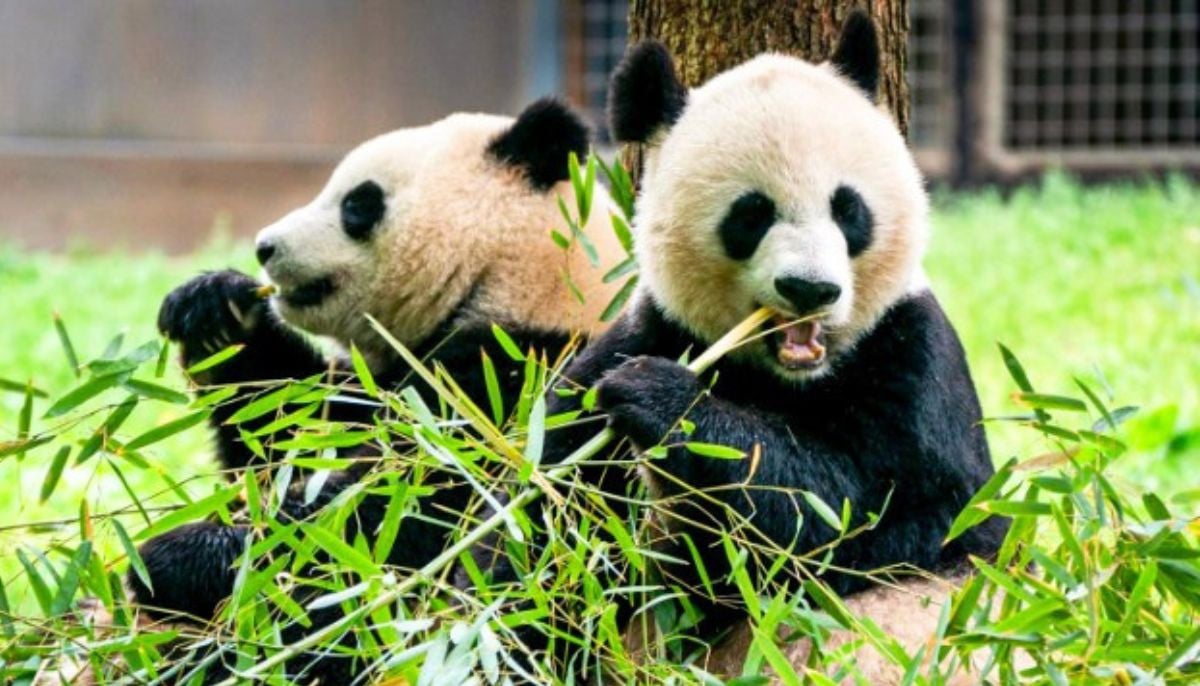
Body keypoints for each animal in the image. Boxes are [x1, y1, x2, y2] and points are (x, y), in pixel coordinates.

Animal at [127, 99, 624, 682]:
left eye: (358, 204)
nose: (264, 247)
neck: (519, 277)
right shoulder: (376, 383)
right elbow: (284, 437)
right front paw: (215, 310)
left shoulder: (517, 378)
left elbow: (396, 515)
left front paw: (171, 558)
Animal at [531, 11, 1008, 682]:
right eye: (751, 213)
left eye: (848, 208)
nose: (809, 288)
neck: (786, 376)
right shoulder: (655, 329)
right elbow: (550, 508)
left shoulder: (913, 360)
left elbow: (865, 513)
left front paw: (662, 398)